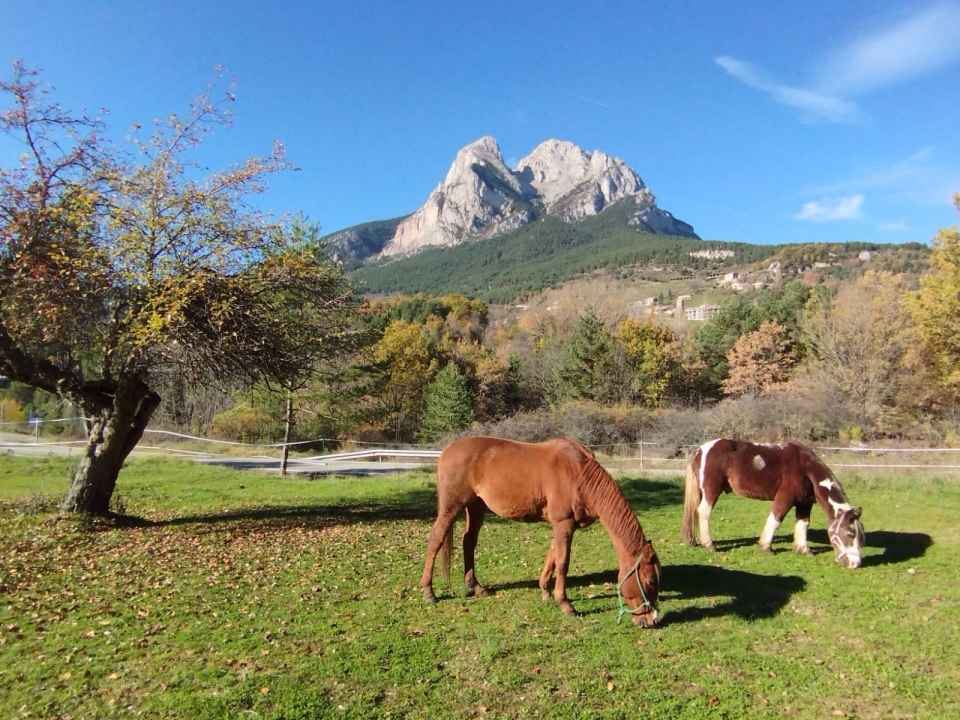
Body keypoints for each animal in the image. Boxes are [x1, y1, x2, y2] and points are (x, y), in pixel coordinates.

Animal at [420, 436, 661, 627]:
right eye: (651, 581)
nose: (651, 620)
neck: (580, 476)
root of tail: (447, 450)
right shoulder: (563, 523)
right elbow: (563, 562)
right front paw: (565, 604)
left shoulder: (562, 525)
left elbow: (553, 555)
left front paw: (545, 592)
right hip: (452, 507)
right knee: (436, 540)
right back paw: (428, 592)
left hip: (476, 506)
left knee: (468, 541)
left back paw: (477, 587)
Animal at [681, 438, 865, 568]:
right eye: (850, 534)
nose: (855, 564)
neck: (805, 468)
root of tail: (700, 450)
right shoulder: (785, 498)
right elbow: (776, 520)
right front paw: (766, 547)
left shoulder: (804, 504)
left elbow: (803, 524)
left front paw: (803, 549)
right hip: (711, 491)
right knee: (703, 512)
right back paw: (709, 544)